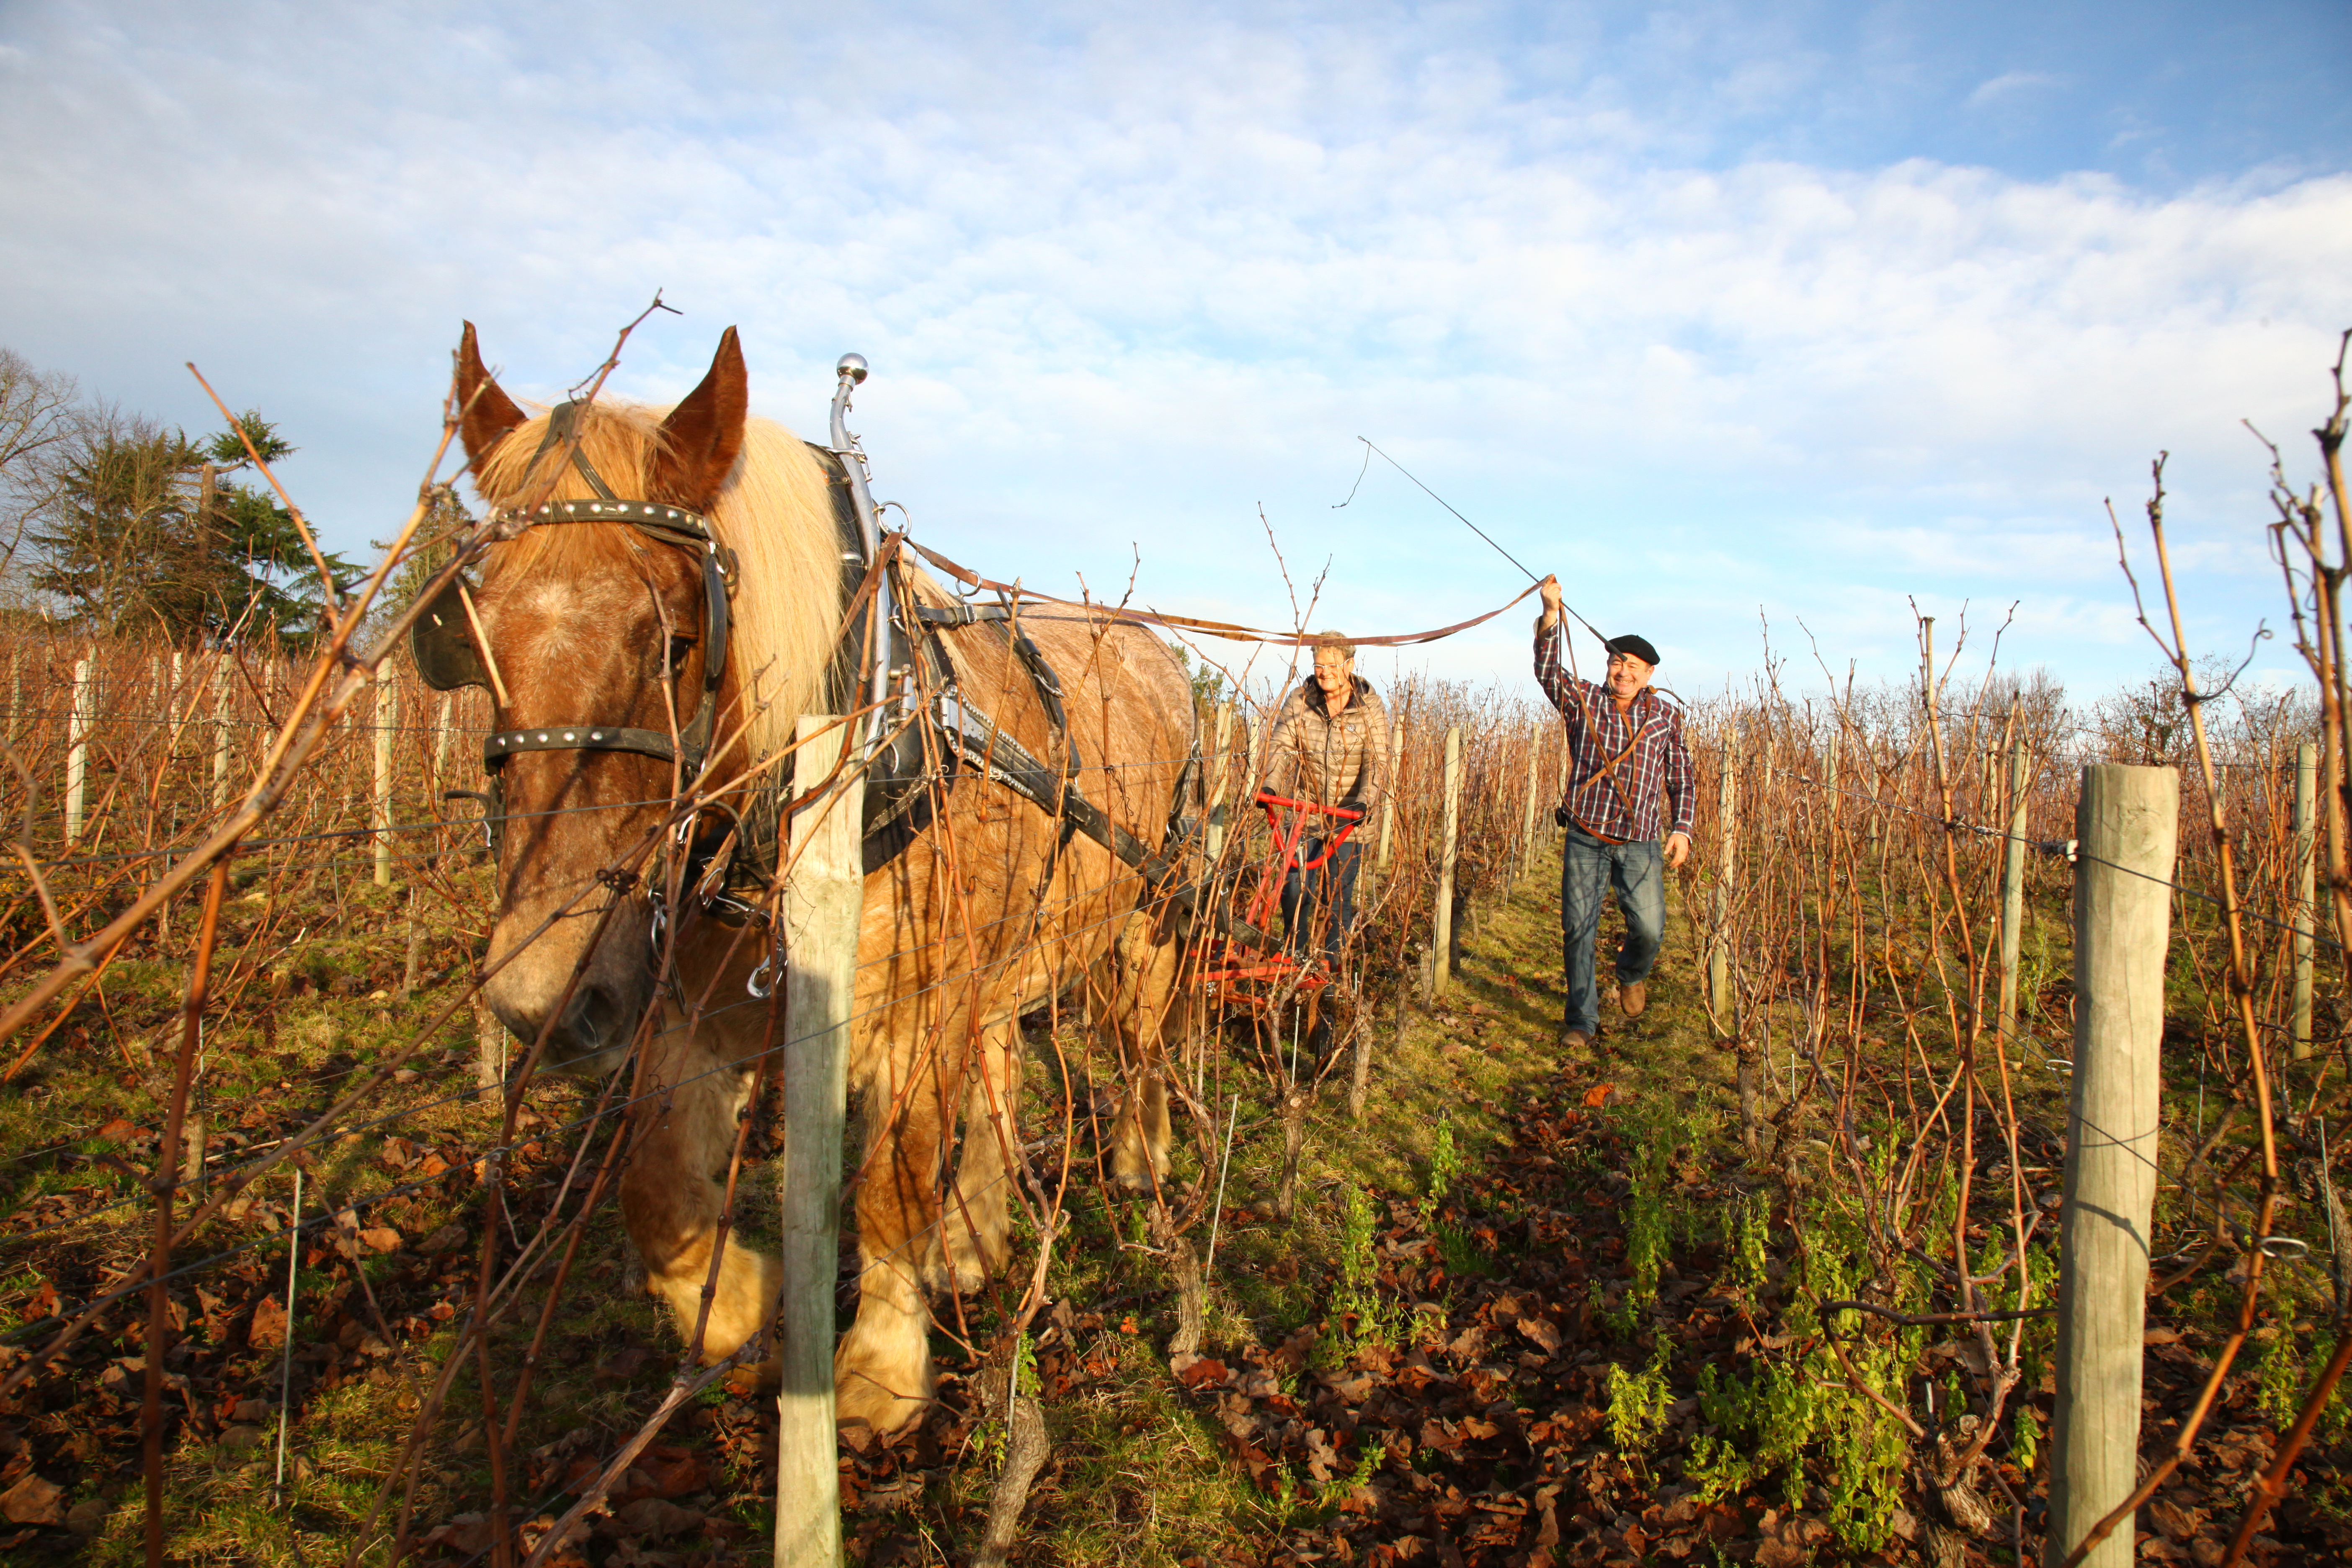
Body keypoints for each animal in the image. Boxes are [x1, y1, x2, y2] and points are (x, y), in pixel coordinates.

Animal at [428, 324, 1194, 1429]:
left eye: (677, 642)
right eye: (478, 642)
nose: (545, 1000)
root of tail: (1152, 646)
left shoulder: (916, 1007)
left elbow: (890, 1184)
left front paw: (878, 1367)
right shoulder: (696, 1008)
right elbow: (655, 1188)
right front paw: (741, 1305)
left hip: (1146, 920)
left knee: (1138, 1047)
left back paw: (1140, 1158)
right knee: (1000, 1069)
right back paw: (974, 1236)